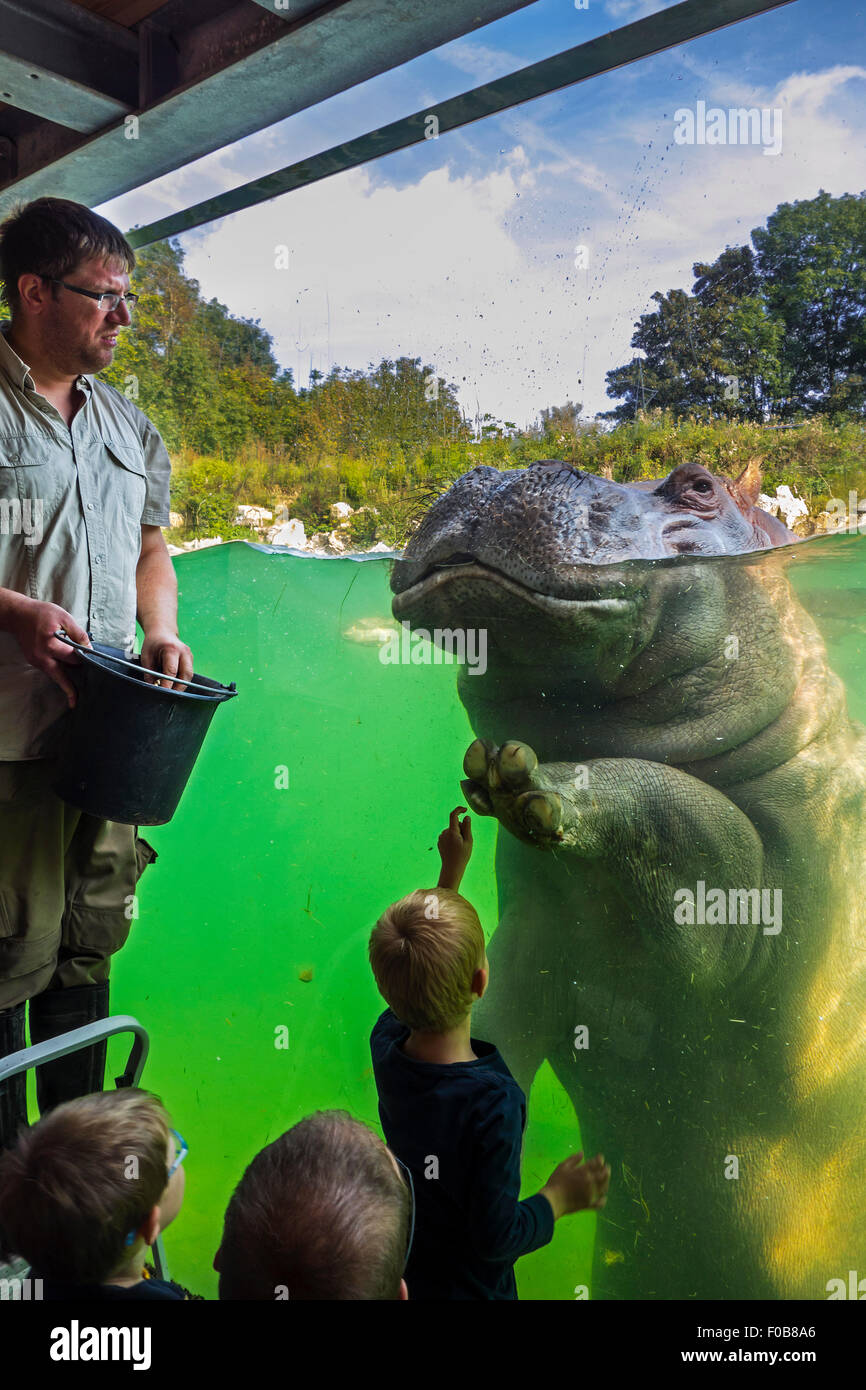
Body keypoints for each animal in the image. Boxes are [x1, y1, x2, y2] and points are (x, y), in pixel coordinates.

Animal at [390, 459, 866, 1300]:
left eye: (700, 484)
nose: (501, 470)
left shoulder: (756, 912)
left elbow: (694, 814)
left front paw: (533, 780)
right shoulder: (529, 934)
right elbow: (495, 1025)